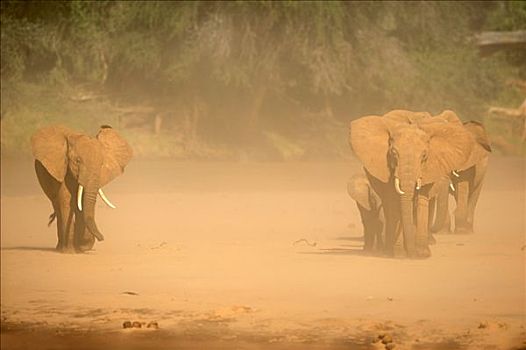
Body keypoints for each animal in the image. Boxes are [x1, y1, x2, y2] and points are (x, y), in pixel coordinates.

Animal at [31, 124, 133, 253]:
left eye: (102, 164)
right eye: (77, 161)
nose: (102, 238)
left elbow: (81, 204)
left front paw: (80, 248)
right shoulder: (62, 167)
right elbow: (66, 201)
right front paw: (70, 252)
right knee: (57, 205)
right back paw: (60, 248)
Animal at [350, 110, 474, 258]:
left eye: (424, 156)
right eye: (393, 154)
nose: (412, 253)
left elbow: (421, 201)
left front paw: (422, 254)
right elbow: (394, 202)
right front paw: (399, 254)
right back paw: (387, 250)